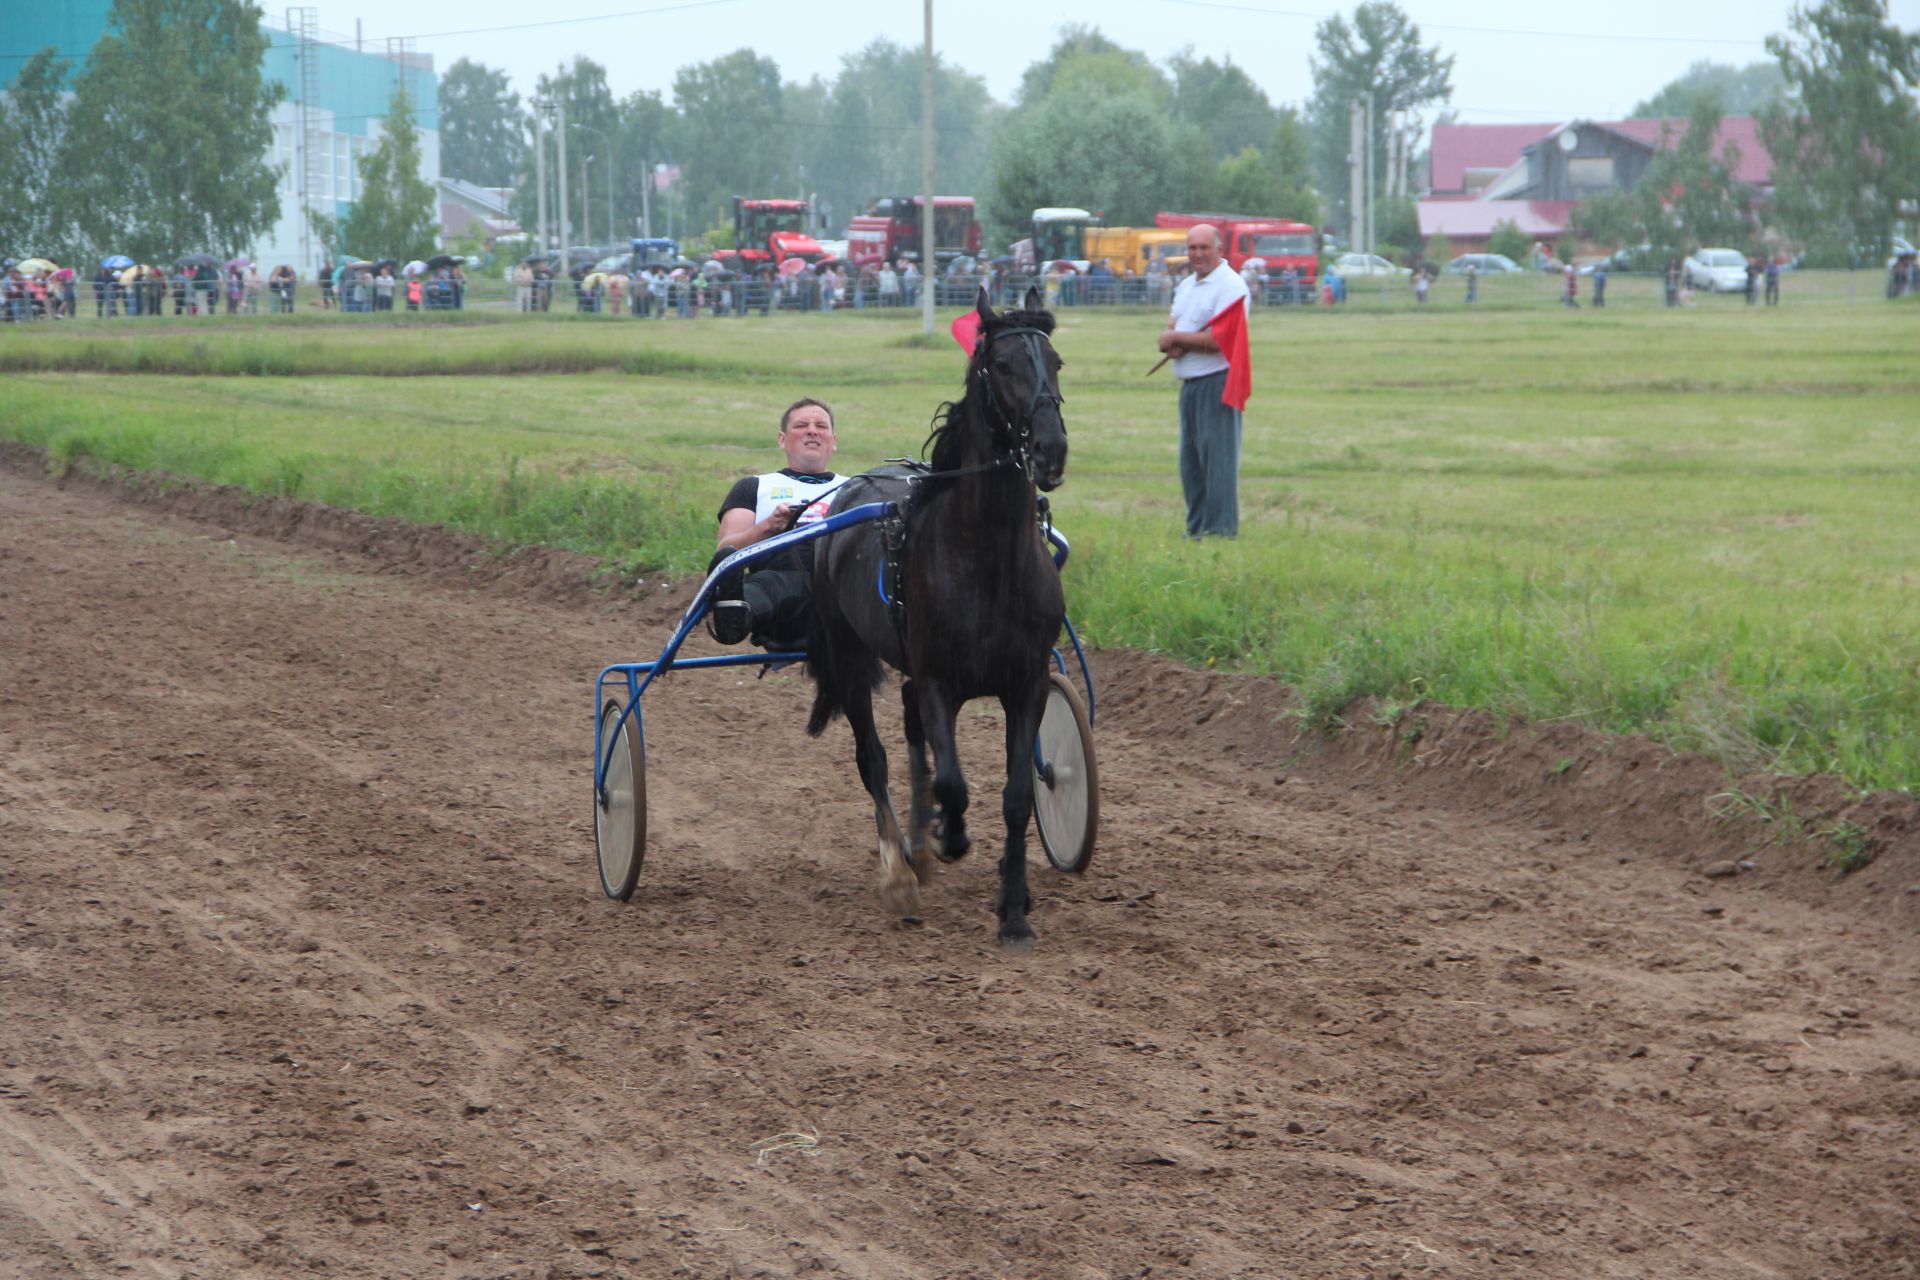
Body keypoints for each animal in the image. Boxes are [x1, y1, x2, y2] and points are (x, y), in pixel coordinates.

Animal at [806, 289, 1067, 951]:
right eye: (1002, 366)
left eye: (1055, 362)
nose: (1051, 449)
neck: (987, 558)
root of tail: (847, 493)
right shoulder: (940, 682)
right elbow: (954, 782)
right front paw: (951, 835)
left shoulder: (1026, 683)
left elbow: (1017, 795)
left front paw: (1014, 909)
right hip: (849, 657)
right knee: (872, 756)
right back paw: (901, 869)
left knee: (908, 729)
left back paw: (919, 849)